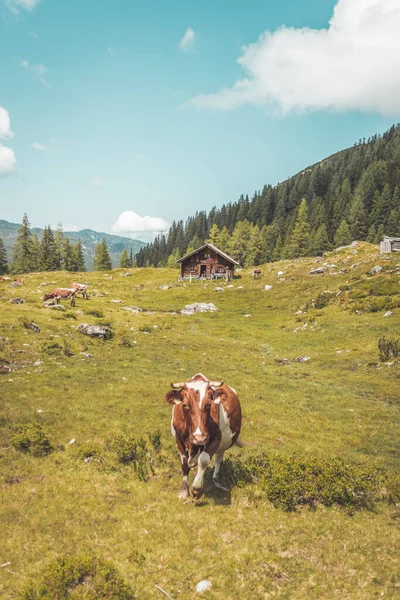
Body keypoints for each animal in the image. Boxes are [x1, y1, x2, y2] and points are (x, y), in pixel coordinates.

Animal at [165, 372, 242, 500]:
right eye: (185, 405)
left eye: (209, 405)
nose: (199, 438)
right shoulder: (178, 438)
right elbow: (185, 464)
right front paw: (183, 490)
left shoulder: (216, 438)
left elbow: (204, 460)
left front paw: (196, 489)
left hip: (223, 445)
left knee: (218, 459)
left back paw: (216, 480)